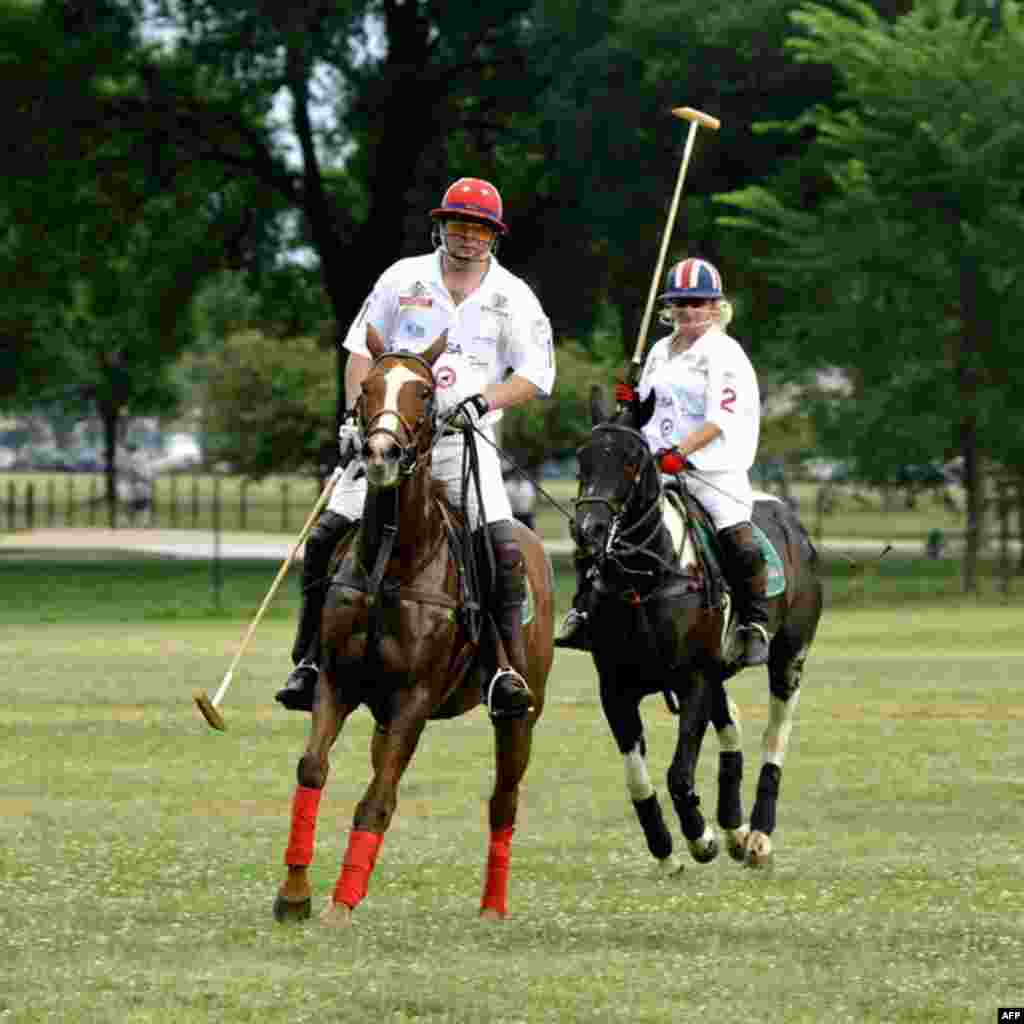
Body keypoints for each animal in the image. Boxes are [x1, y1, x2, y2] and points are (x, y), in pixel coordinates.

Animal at [274, 329, 552, 929]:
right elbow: (313, 770)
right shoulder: (338, 682)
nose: (380, 454)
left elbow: (376, 800)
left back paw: (492, 906)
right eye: (368, 389)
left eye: (424, 392)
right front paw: (296, 894)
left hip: (521, 713)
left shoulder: (416, 698)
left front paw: (340, 902)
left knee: (503, 798)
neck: (395, 561)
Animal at [577, 387, 823, 868]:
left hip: (789, 655)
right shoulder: (614, 688)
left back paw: (758, 834)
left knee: (775, 733)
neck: (645, 580)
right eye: (583, 458)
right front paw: (664, 850)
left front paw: (699, 837)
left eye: (631, 461)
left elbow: (678, 773)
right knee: (731, 726)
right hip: (718, 670)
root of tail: (791, 519)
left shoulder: (692, 680)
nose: (587, 531)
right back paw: (735, 828)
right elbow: (636, 777)